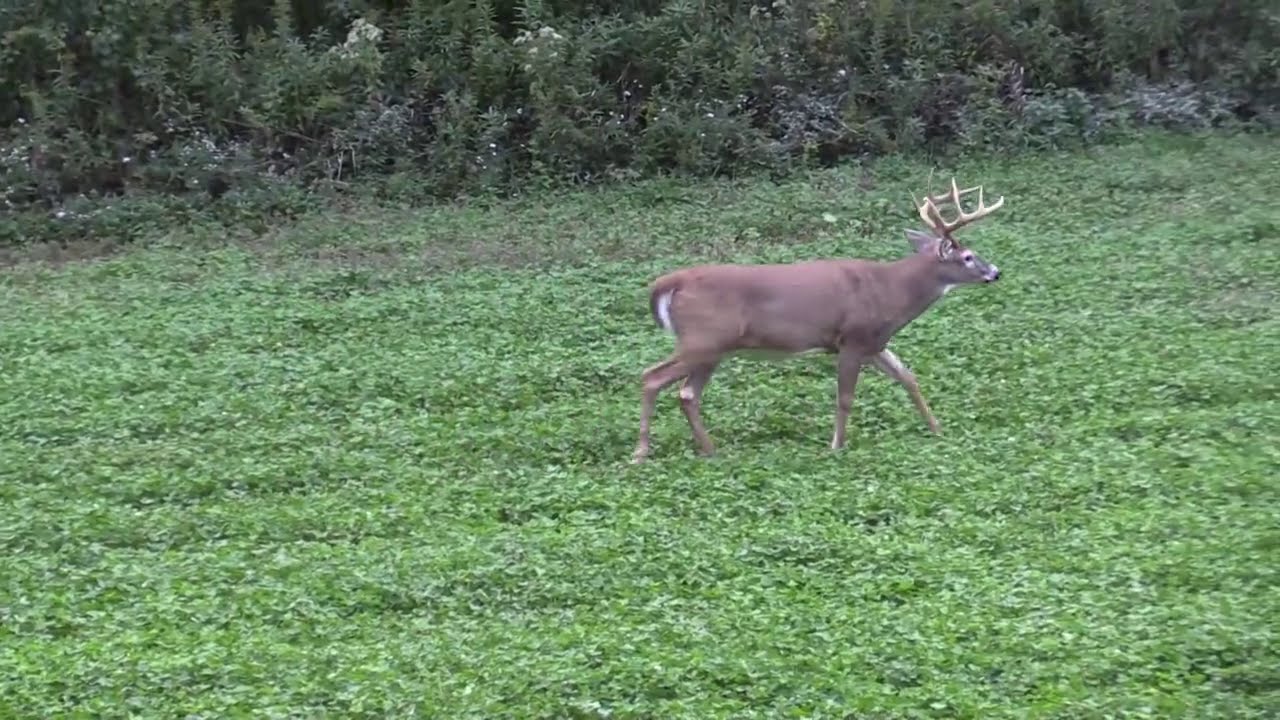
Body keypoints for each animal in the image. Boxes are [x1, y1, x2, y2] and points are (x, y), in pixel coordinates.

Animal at [631, 176, 1006, 464]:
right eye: (968, 256)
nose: (996, 272)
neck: (890, 292)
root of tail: (670, 283)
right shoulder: (852, 338)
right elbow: (845, 398)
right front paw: (836, 446)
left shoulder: (874, 342)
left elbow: (909, 378)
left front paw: (937, 429)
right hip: (703, 339)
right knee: (652, 377)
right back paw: (641, 452)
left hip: (712, 348)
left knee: (686, 393)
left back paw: (711, 451)